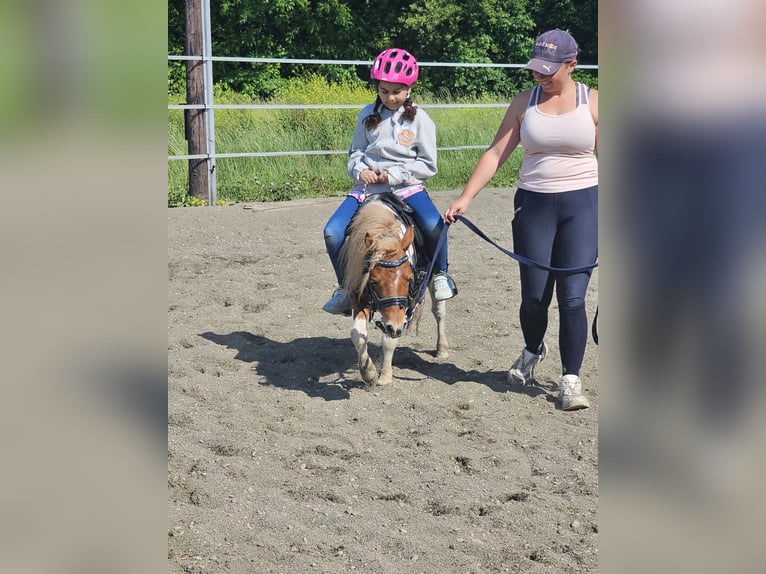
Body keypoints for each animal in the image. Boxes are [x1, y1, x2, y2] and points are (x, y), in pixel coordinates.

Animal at [338, 194, 450, 388]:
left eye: (409, 279)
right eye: (373, 281)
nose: (395, 326)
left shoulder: (401, 311)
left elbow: (389, 339)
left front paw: (385, 375)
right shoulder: (359, 297)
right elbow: (357, 335)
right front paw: (368, 372)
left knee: (439, 311)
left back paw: (442, 349)